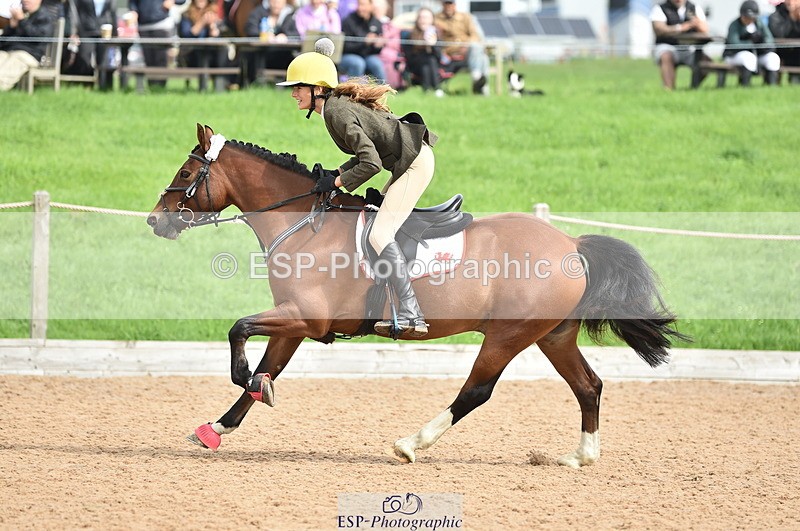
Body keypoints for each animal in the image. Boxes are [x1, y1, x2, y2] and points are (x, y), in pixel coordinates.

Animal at [147, 124, 687, 468]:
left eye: (184, 173)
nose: (155, 219)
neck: (303, 224)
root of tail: (571, 244)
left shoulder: (303, 316)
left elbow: (239, 332)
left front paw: (245, 385)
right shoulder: (295, 322)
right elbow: (268, 368)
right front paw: (218, 428)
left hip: (508, 335)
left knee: (476, 392)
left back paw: (410, 444)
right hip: (553, 336)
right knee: (588, 386)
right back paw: (581, 456)